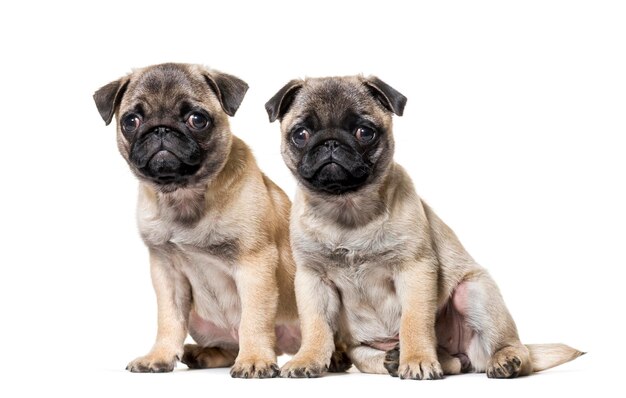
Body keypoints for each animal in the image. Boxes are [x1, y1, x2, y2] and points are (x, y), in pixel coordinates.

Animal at [92, 63, 300, 378]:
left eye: (197, 119)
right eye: (131, 121)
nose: (161, 129)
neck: (184, 194)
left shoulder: (255, 264)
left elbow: (254, 318)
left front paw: (254, 359)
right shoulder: (166, 273)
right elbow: (169, 319)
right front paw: (160, 356)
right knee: (227, 346)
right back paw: (201, 353)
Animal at [266, 75, 584, 380]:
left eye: (365, 132)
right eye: (301, 134)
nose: (331, 142)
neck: (347, 208)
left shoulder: (415, 270)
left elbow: (414, 321)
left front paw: (417, 359)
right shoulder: (312, 280)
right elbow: (315, 326)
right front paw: (307, 359)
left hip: (475, 291)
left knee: (512, 349)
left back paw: (504, 361)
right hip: (362, 351)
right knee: (450, 362)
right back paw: (398, 359)